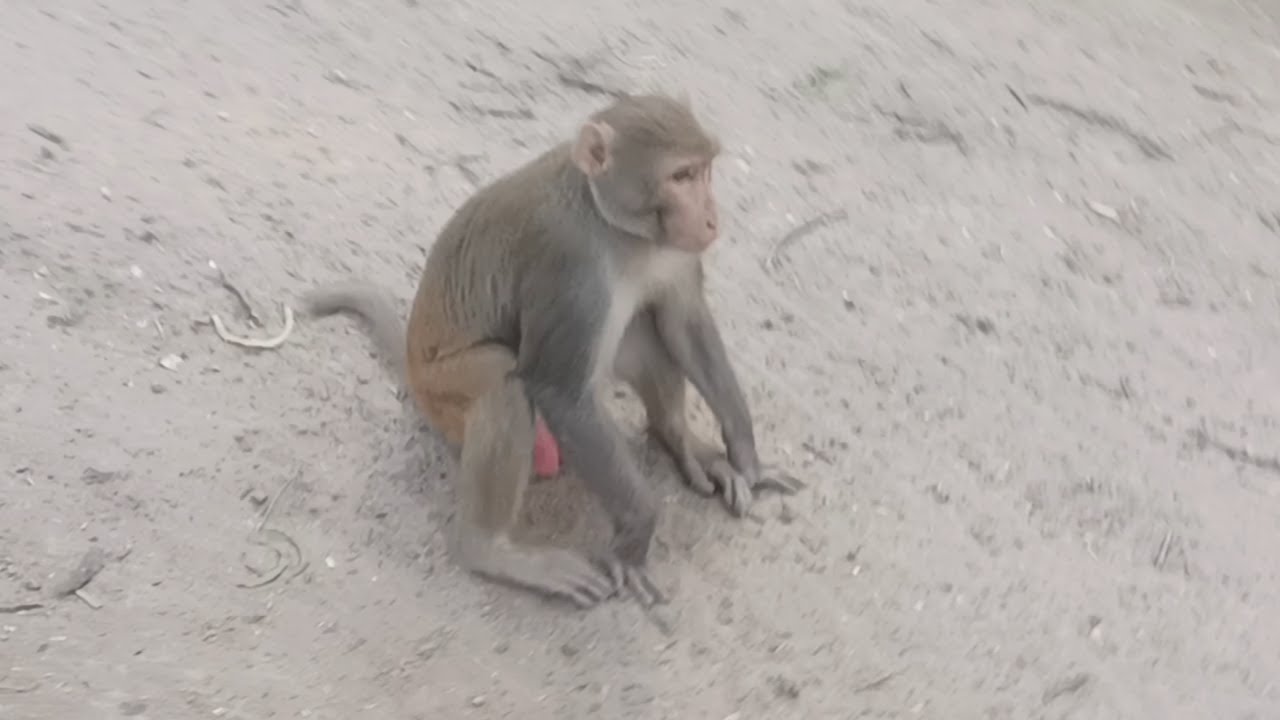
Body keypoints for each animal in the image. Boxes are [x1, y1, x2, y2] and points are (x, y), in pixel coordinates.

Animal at [305, 93, 802, 609]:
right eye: (680, 176)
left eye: (704, 171)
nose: (710, 218)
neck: (619, 231)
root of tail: (409, 358)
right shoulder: (571, 266)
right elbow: (560, 392)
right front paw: (635, 538)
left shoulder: (670, 250)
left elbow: (683, 321)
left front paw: (745, 457)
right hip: (439, 393)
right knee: (503, 378)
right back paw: (490, 549)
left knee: (639, 328)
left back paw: (679, 441)